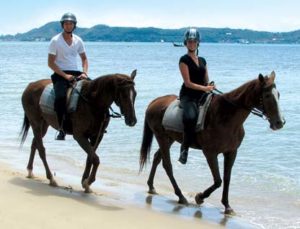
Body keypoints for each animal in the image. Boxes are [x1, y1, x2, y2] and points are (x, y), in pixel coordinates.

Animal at [139, 71, 284, 215]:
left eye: (278, 94)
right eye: (267, 95)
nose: (280, 122)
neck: (226, 116)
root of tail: (154, 102)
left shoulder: (231, 152)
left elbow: (226, 179)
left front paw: (227, 206)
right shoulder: (210, 153)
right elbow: (218, 180)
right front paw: (199, 197)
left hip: (169, 138)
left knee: (157, 158)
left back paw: (151, 186)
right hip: (162, 137)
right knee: (167, 165)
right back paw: (181, 196)